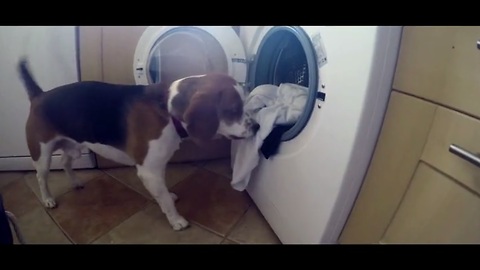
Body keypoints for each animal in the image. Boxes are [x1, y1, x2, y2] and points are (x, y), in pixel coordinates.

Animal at [17, 58, 258, 230]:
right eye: (233, 110)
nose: (256, 127)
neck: (167, 109)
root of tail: (39, 95)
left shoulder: (157, 166)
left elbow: (164, 192)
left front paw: (169, 198)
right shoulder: (149, 171)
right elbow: (165, 200)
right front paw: (176, 220)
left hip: (74, 147)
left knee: (66, 162)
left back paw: (75, 182)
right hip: (42, 154)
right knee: (41, 177)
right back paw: (48, 199)